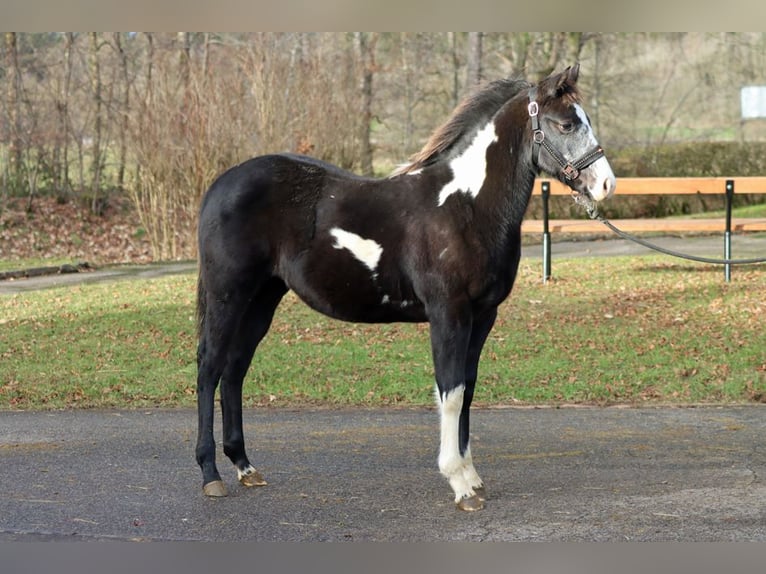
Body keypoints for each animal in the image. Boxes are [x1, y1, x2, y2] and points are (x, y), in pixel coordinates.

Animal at [195, 64, 616, 511]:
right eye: (566, 124)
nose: (606, 184)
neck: (464, 206)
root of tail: (220, 184)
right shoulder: (448, 313)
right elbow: (450, 391)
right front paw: (459, 483)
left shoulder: (482, 316)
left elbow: (467, 389)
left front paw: (473, 477)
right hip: (228, 295)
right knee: (210, 367)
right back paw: (211, 473)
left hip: (262, 298)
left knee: (235, 369)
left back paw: (245, 466)